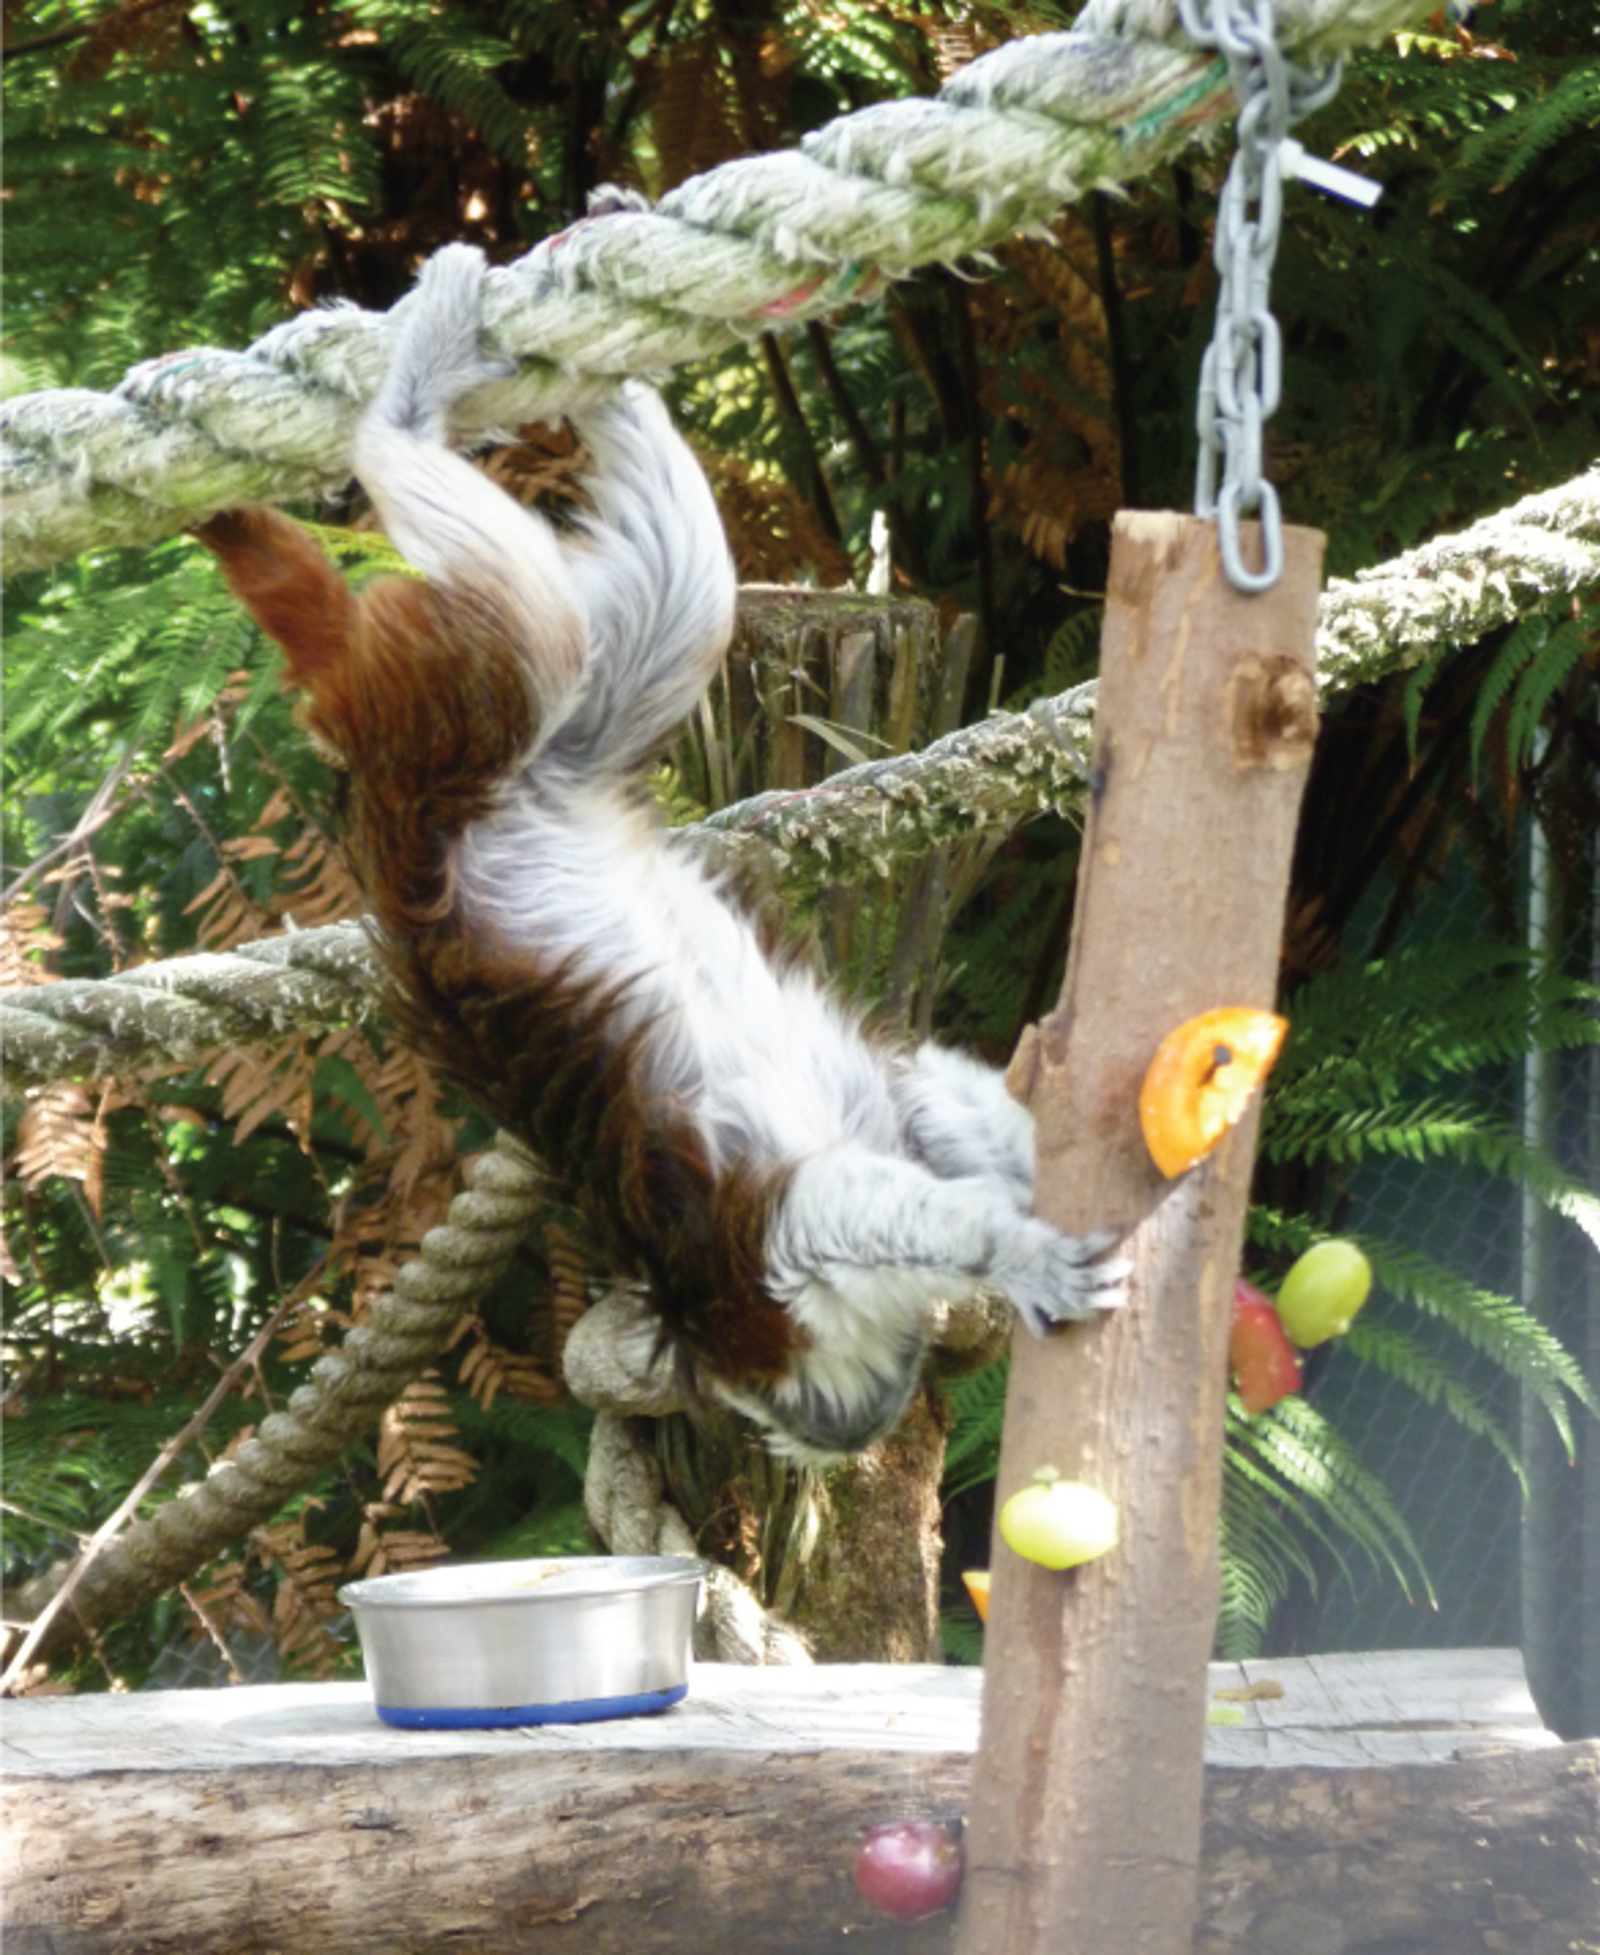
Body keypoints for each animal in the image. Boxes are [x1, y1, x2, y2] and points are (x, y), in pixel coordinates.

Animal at [196, 243, 1126, 1461]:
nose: (860, 1426)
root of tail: (400, 823)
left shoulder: (763, 1280)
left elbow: (893, 1147)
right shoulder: (774, 1271)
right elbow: (905, 1124)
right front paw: (1019, 1239)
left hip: (453, 724)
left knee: (571, 607)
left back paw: (430, 408)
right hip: (480, 735)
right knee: (637, 605)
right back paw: (537, 401)